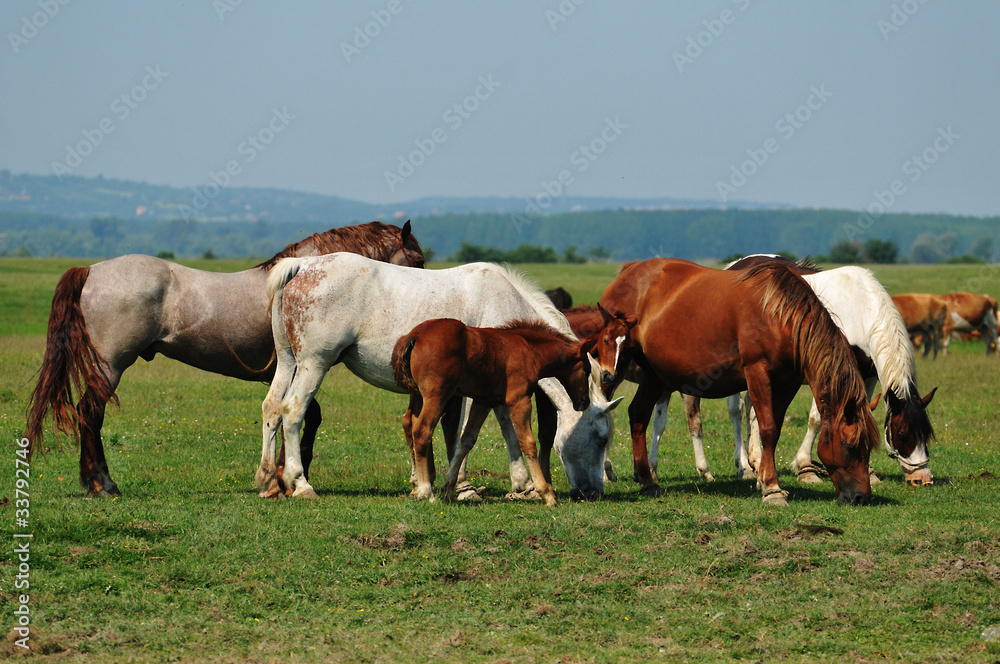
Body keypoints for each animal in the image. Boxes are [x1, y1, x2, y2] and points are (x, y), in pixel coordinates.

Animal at [26, 220, 426, 496]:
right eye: (418, 260)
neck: (307, 274)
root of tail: (92, 270)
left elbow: (294, 415)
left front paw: (281, 477)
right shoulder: (302, 365)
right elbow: (304, 417)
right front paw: (289, 477)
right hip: (110, 367)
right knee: (90, 413)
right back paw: (103, 484)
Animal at [390, 320, 608, 506]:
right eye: (586, 369)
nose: (583, 402)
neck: (529, 350)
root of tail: (416, 335)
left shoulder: (483, 401)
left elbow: (466, 441)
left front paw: (450, 488)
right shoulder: (519, 400)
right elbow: (528, 442)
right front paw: (546, 493)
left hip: (419, 396)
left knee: (410, 425)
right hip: (437, 396)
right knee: (422, 431)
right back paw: (425, 491)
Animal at [596, 256, 880, 506]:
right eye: (852, 446)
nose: (861, 497)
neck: (778, 315)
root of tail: (628, 271)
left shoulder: (786, 384)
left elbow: (775, 430)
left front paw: (763, 481)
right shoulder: (757, 373)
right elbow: (767, 429)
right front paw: (772, 488)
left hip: (654, 374)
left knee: (638, 414)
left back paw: (647, 480)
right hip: (613, 372)